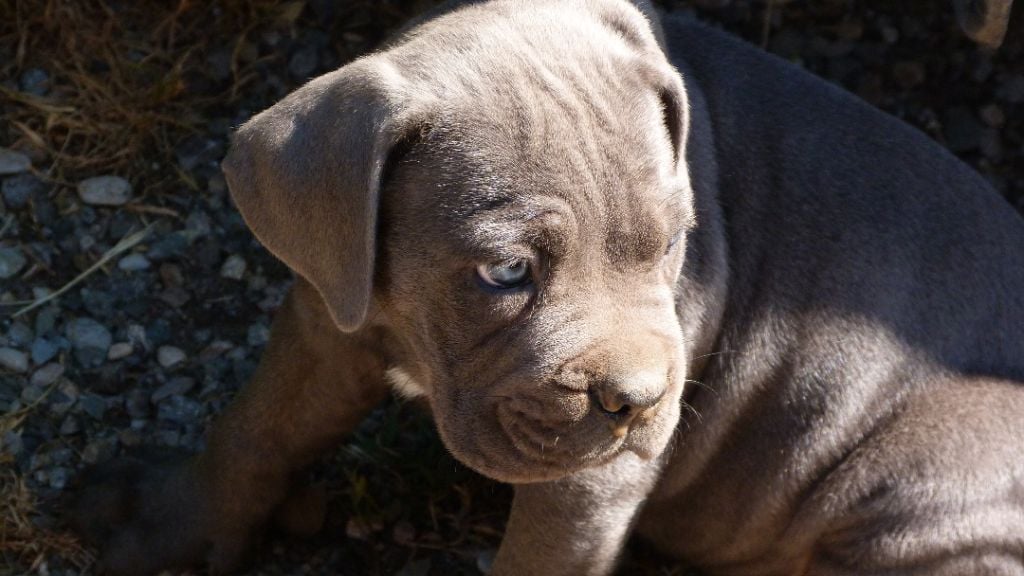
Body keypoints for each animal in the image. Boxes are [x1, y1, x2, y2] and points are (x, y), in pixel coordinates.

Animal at [73, 0, 1024, 574]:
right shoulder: (327, 316)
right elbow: (256, 428)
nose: (639, 402)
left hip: (927, 498)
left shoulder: (585, 482)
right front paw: (167, 522)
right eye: (507, 271)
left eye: (676, 243)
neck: (413, 340)